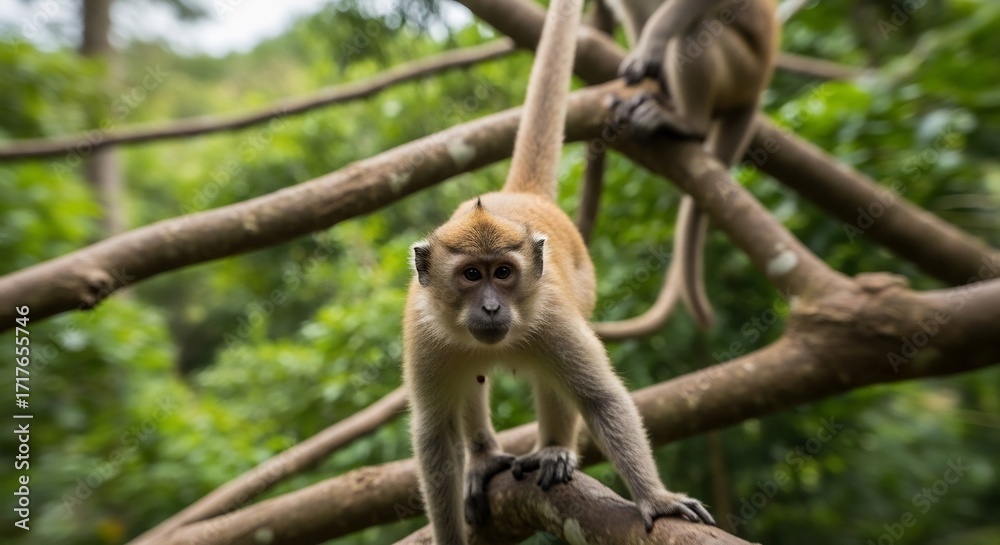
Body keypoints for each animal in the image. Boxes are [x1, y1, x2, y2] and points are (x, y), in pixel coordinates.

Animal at [402, 0, 714, 543]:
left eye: (504, 273)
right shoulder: (424, 333)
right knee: (471, 382)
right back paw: (483, 459)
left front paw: (656, 499)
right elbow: (435, 438)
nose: (491, 306)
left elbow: (601, 398)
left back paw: (553, 449)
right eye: (471, 276)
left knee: (553, 378)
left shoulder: (550, 313)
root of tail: (519, 195)